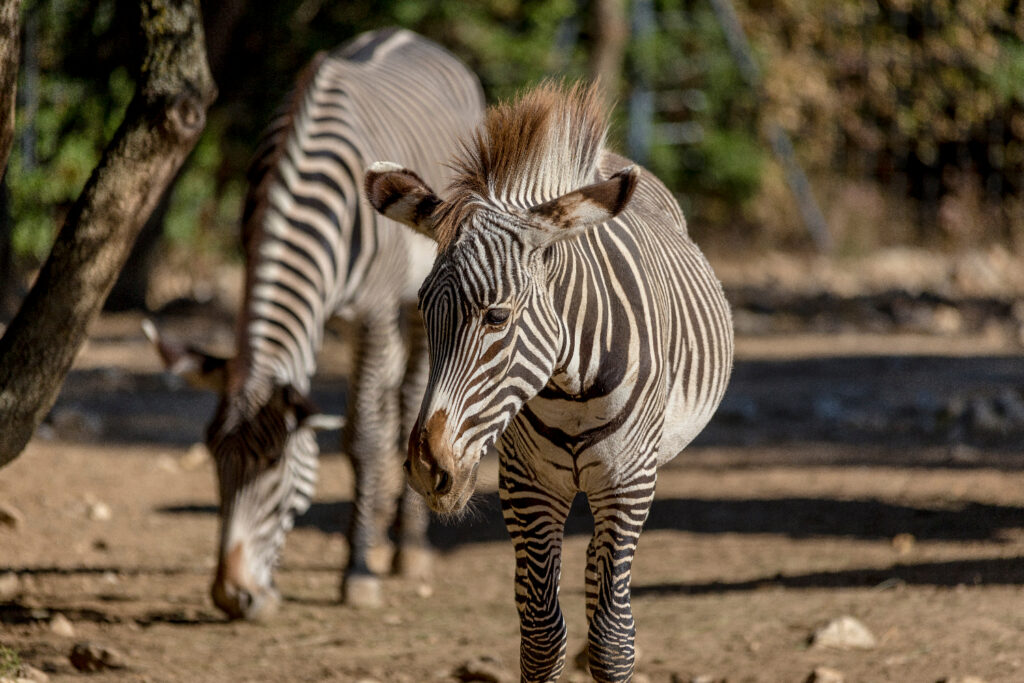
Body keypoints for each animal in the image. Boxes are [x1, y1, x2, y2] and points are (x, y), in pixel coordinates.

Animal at [146, 28, 485, 618]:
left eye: (275, 466)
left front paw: (358, 573)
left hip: (422, 296)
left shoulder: (374, 311)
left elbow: (363, 437)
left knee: (408, 399)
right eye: (214, 461)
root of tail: (412, 37)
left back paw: (406, 548)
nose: (232, 597)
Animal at [364, 83, 733, 683]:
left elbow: (613, 639)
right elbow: (540, 635)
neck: (569, 389)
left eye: (496, 317)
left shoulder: (627, 483)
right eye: (423, 309)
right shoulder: (526, 486)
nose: (425, 466)